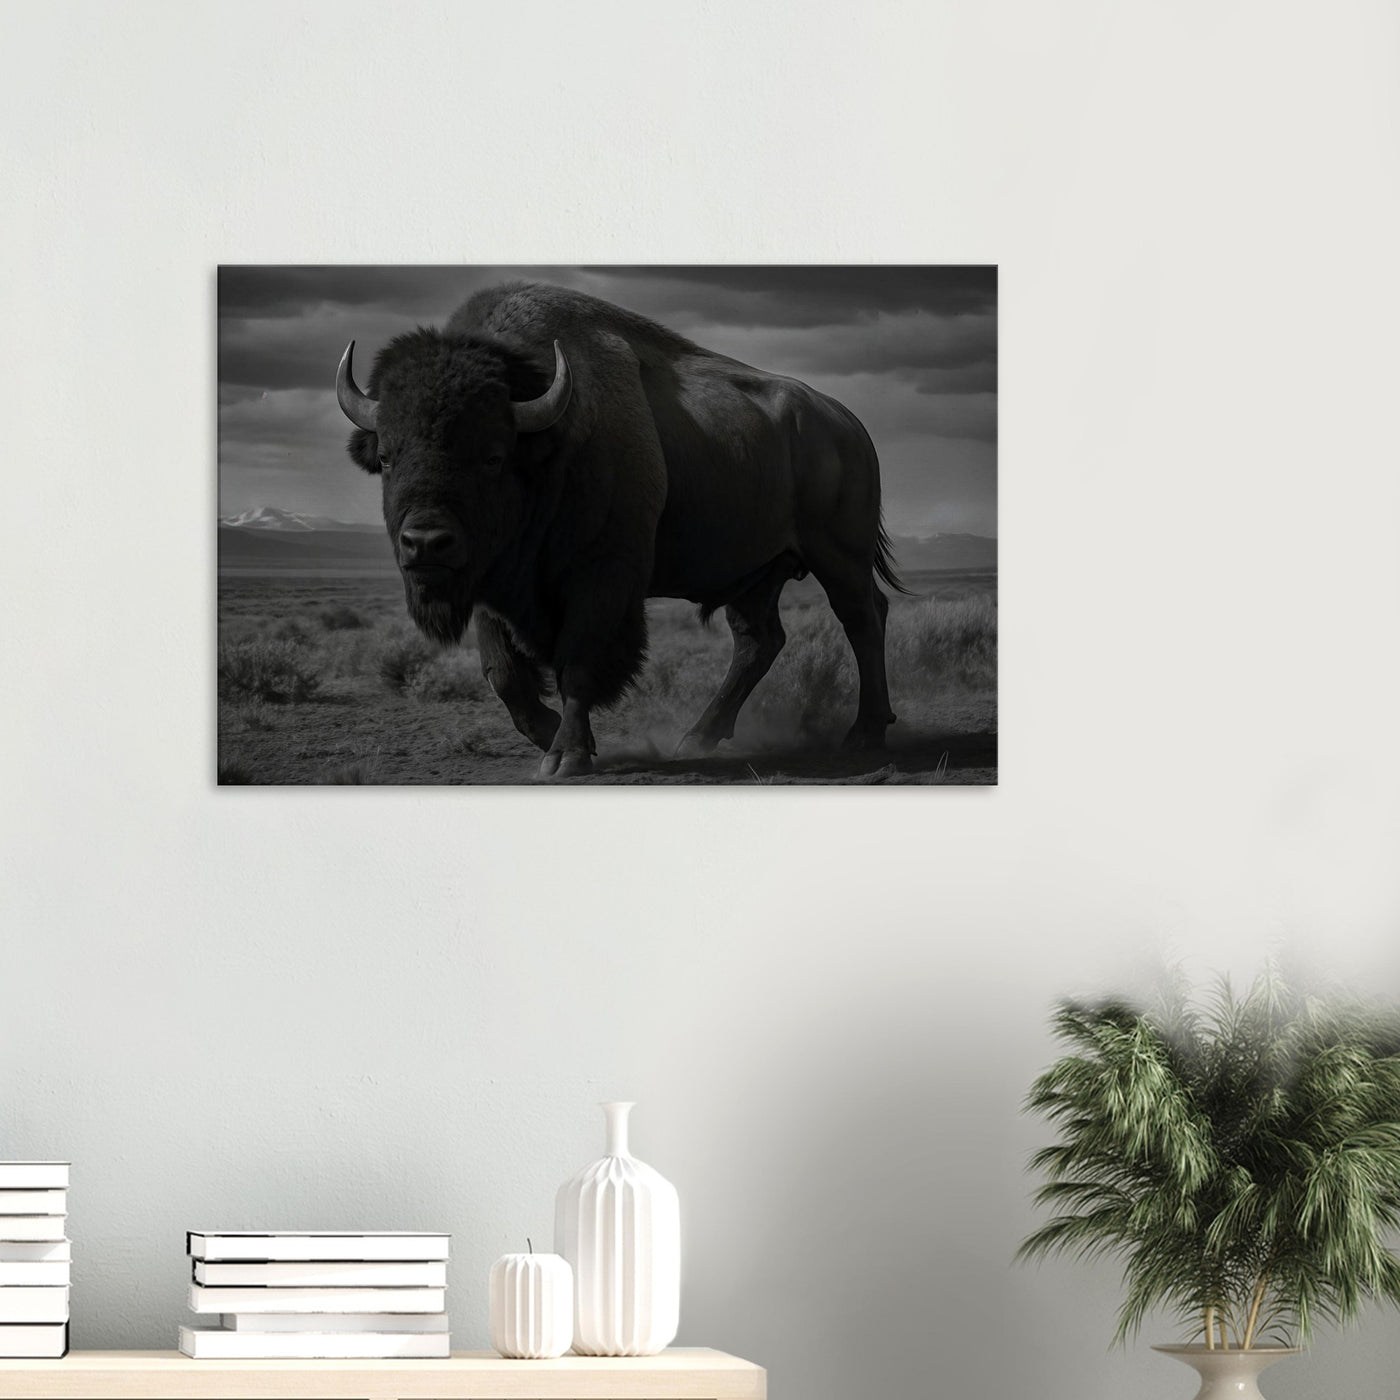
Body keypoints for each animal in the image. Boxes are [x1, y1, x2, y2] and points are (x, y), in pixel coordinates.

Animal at [336, 282, 902, 779]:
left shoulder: (603, 577)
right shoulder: (492, 584)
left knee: (862, 618)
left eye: (493, 456)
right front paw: (556, 738)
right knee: (758, 641)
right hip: (754, 573)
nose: (425, 543)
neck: (550, 444)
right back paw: (695, 738)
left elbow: (579, 663)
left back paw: (865, 733)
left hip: (839, 557)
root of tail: (848, 425)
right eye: (386, 457)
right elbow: (505, 676)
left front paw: (566, 756)